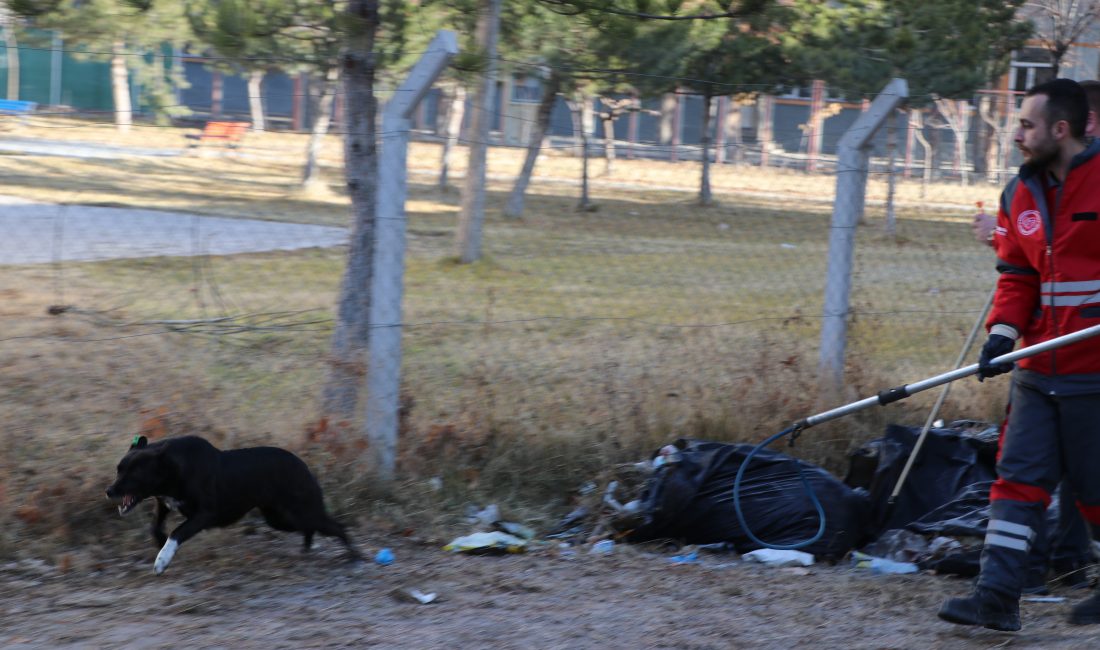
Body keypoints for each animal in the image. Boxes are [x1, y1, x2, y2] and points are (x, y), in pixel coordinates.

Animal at [105, 437, 358, 576]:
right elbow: (156, 528)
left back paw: (354, 557)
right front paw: (161, 547)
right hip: (279, 518)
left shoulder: (204, 515)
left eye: (134, 473)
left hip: (300, 511)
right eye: (118, 469)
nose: (109, 491)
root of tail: (304, 466)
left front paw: (162, 561)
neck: (173, 467)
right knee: (311, 528)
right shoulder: (165, 504)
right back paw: (307, 551)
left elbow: (176, 533)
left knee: (338, 526)